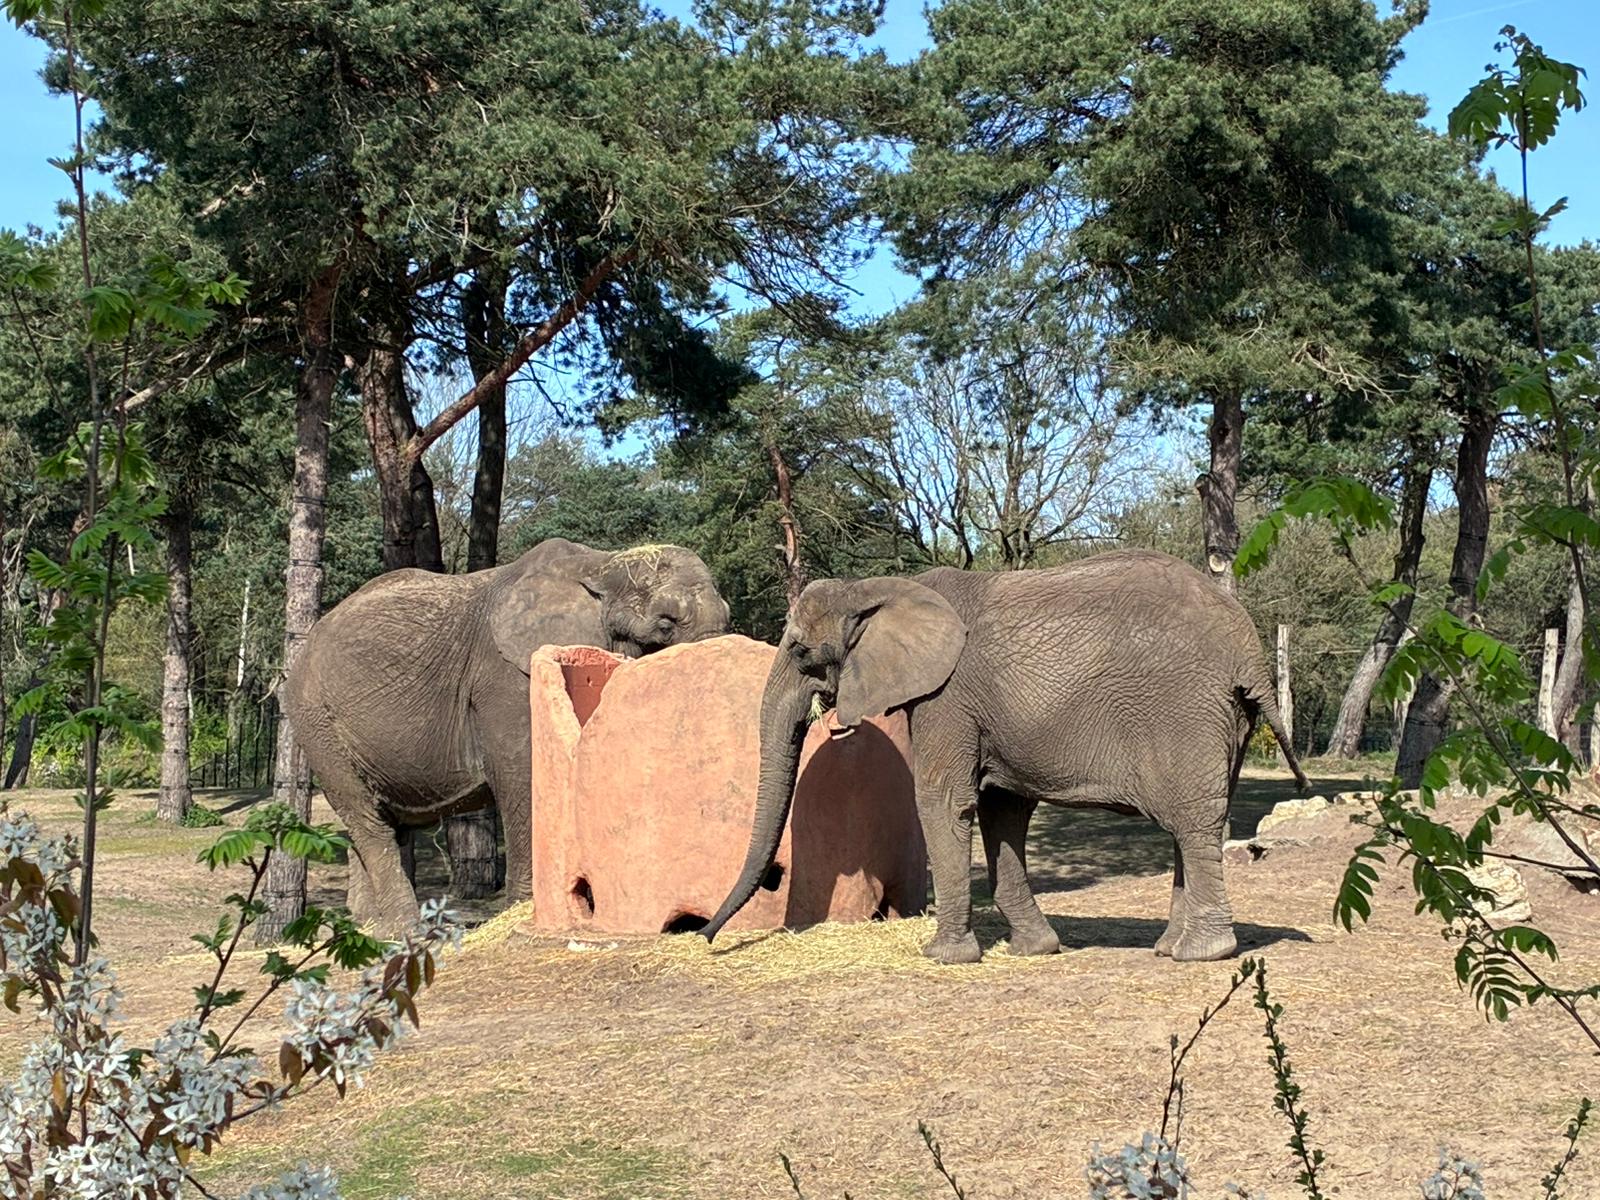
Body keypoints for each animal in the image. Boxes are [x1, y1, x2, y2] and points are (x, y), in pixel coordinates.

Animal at [281, 539, 731, 934]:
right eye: (665, 624)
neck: (602, 565)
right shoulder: (504, 677)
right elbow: (524, 772)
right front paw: (529, 907)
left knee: (386, 822)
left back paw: (371, 928)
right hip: (316, 723)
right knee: (369, 821)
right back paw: (404, 928)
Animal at [702, 549, 1306, 963]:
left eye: (801, 651)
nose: (704, 937)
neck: (877, 588)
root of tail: (1248, 645)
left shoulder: (947, 696)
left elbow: (944, 801)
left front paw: (942, 957)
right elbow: (1001, 809)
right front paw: (1035, 949)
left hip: (1186, 711)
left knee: (1194, 821)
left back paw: (1200, 953)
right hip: (1225, 720)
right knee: (1194, 820)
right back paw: (1167, 946)